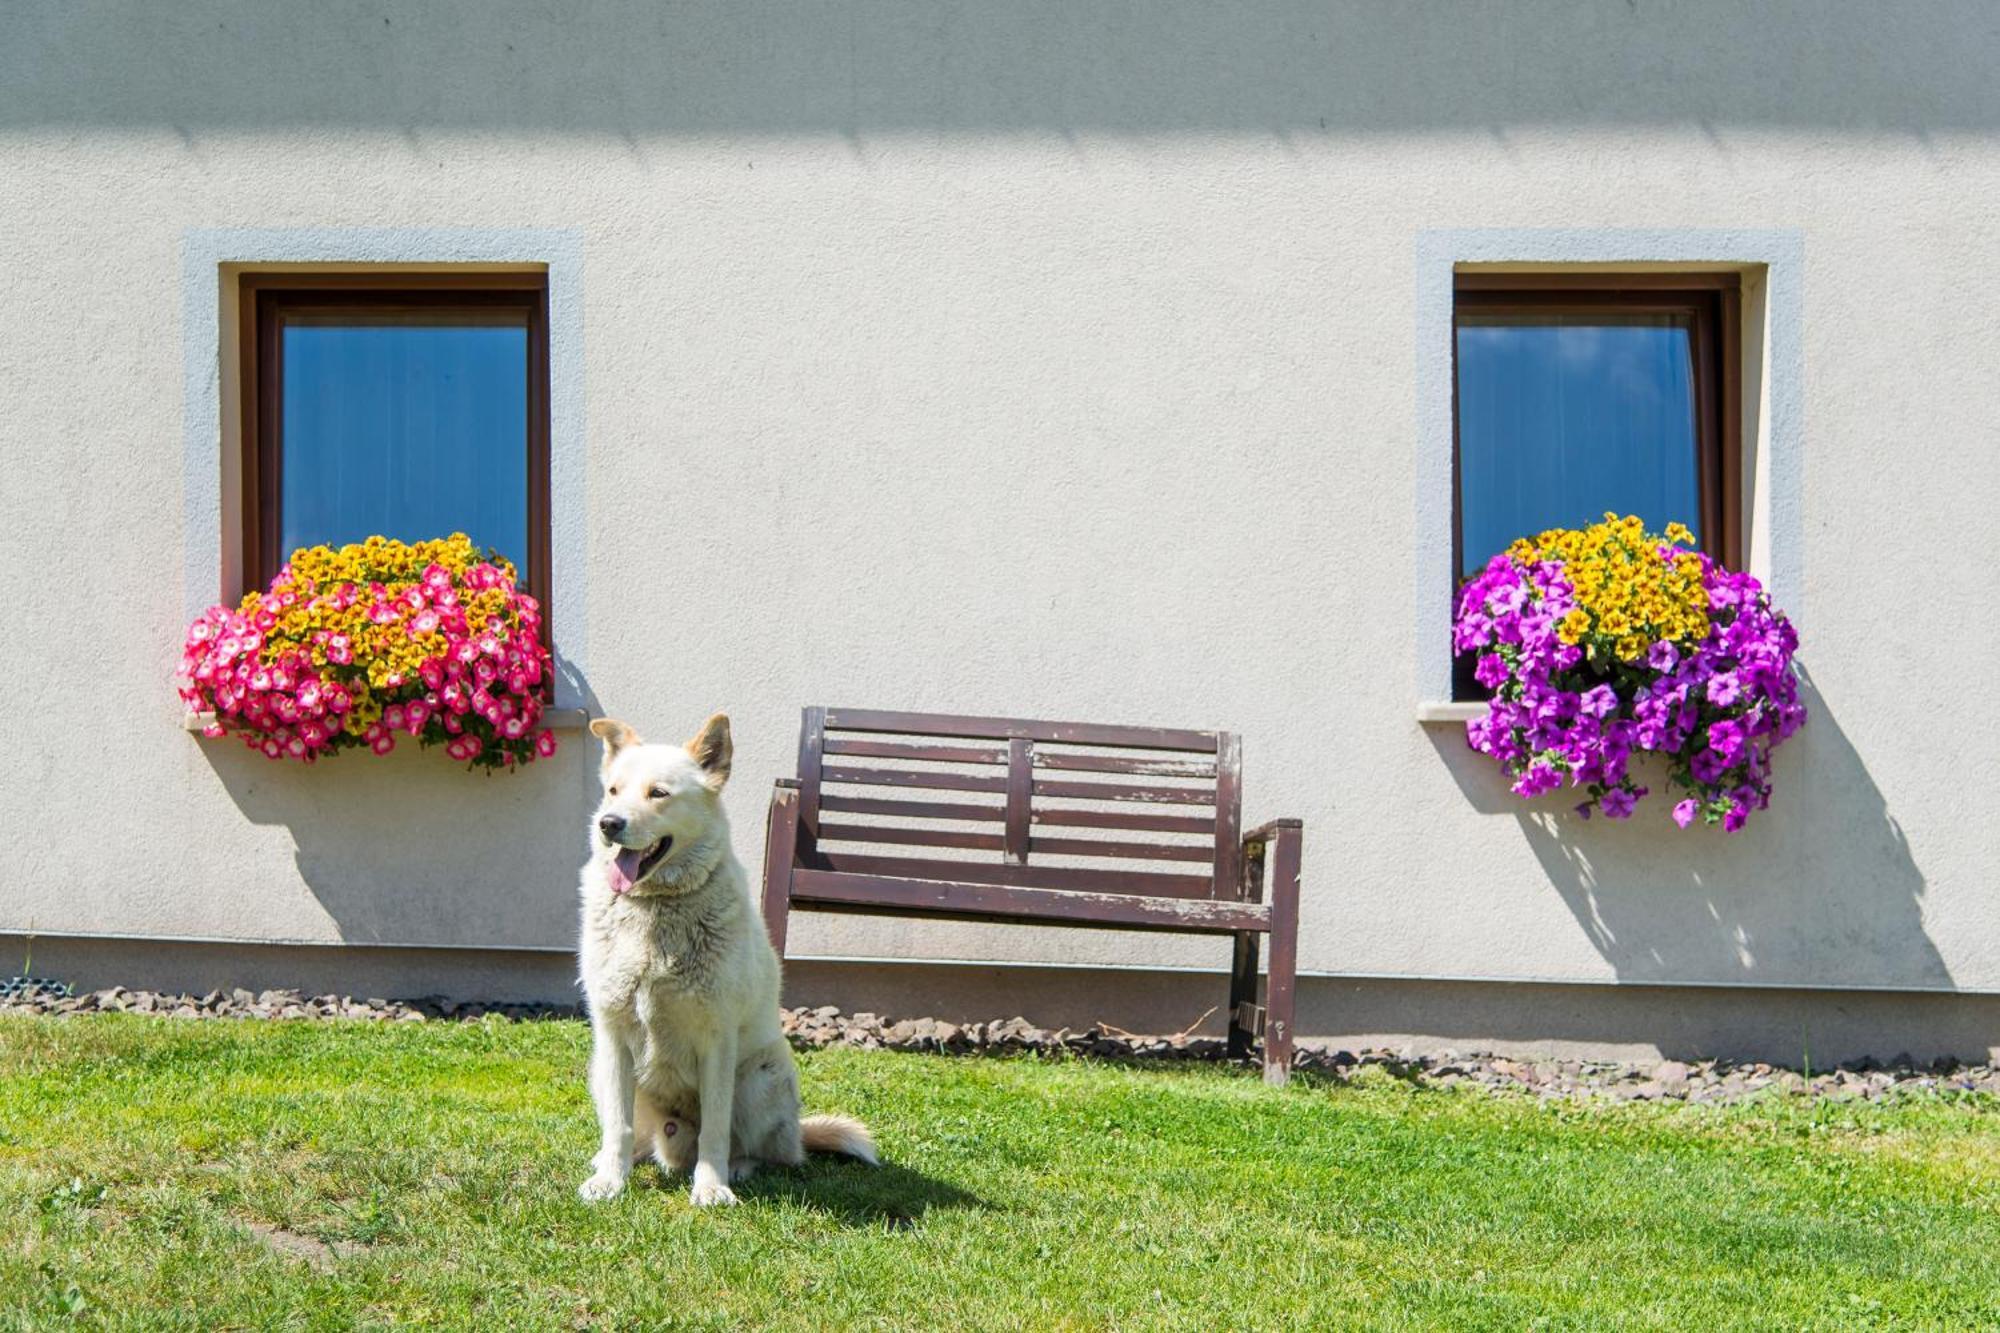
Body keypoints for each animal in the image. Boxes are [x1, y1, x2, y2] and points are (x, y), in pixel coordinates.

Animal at [568, 712, 872, 1200]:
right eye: (613, 790)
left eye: (658, 793)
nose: (608, 824)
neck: (656, 909)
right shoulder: (612, 1035)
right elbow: (618, 1126)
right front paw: (610, 1181)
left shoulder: (717, 1039)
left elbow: (716, 1128)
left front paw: (711, 1188)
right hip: (601, 1069)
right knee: (639, 1135)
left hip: (760, 1077)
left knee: (765, 1150)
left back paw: (742, 1167)